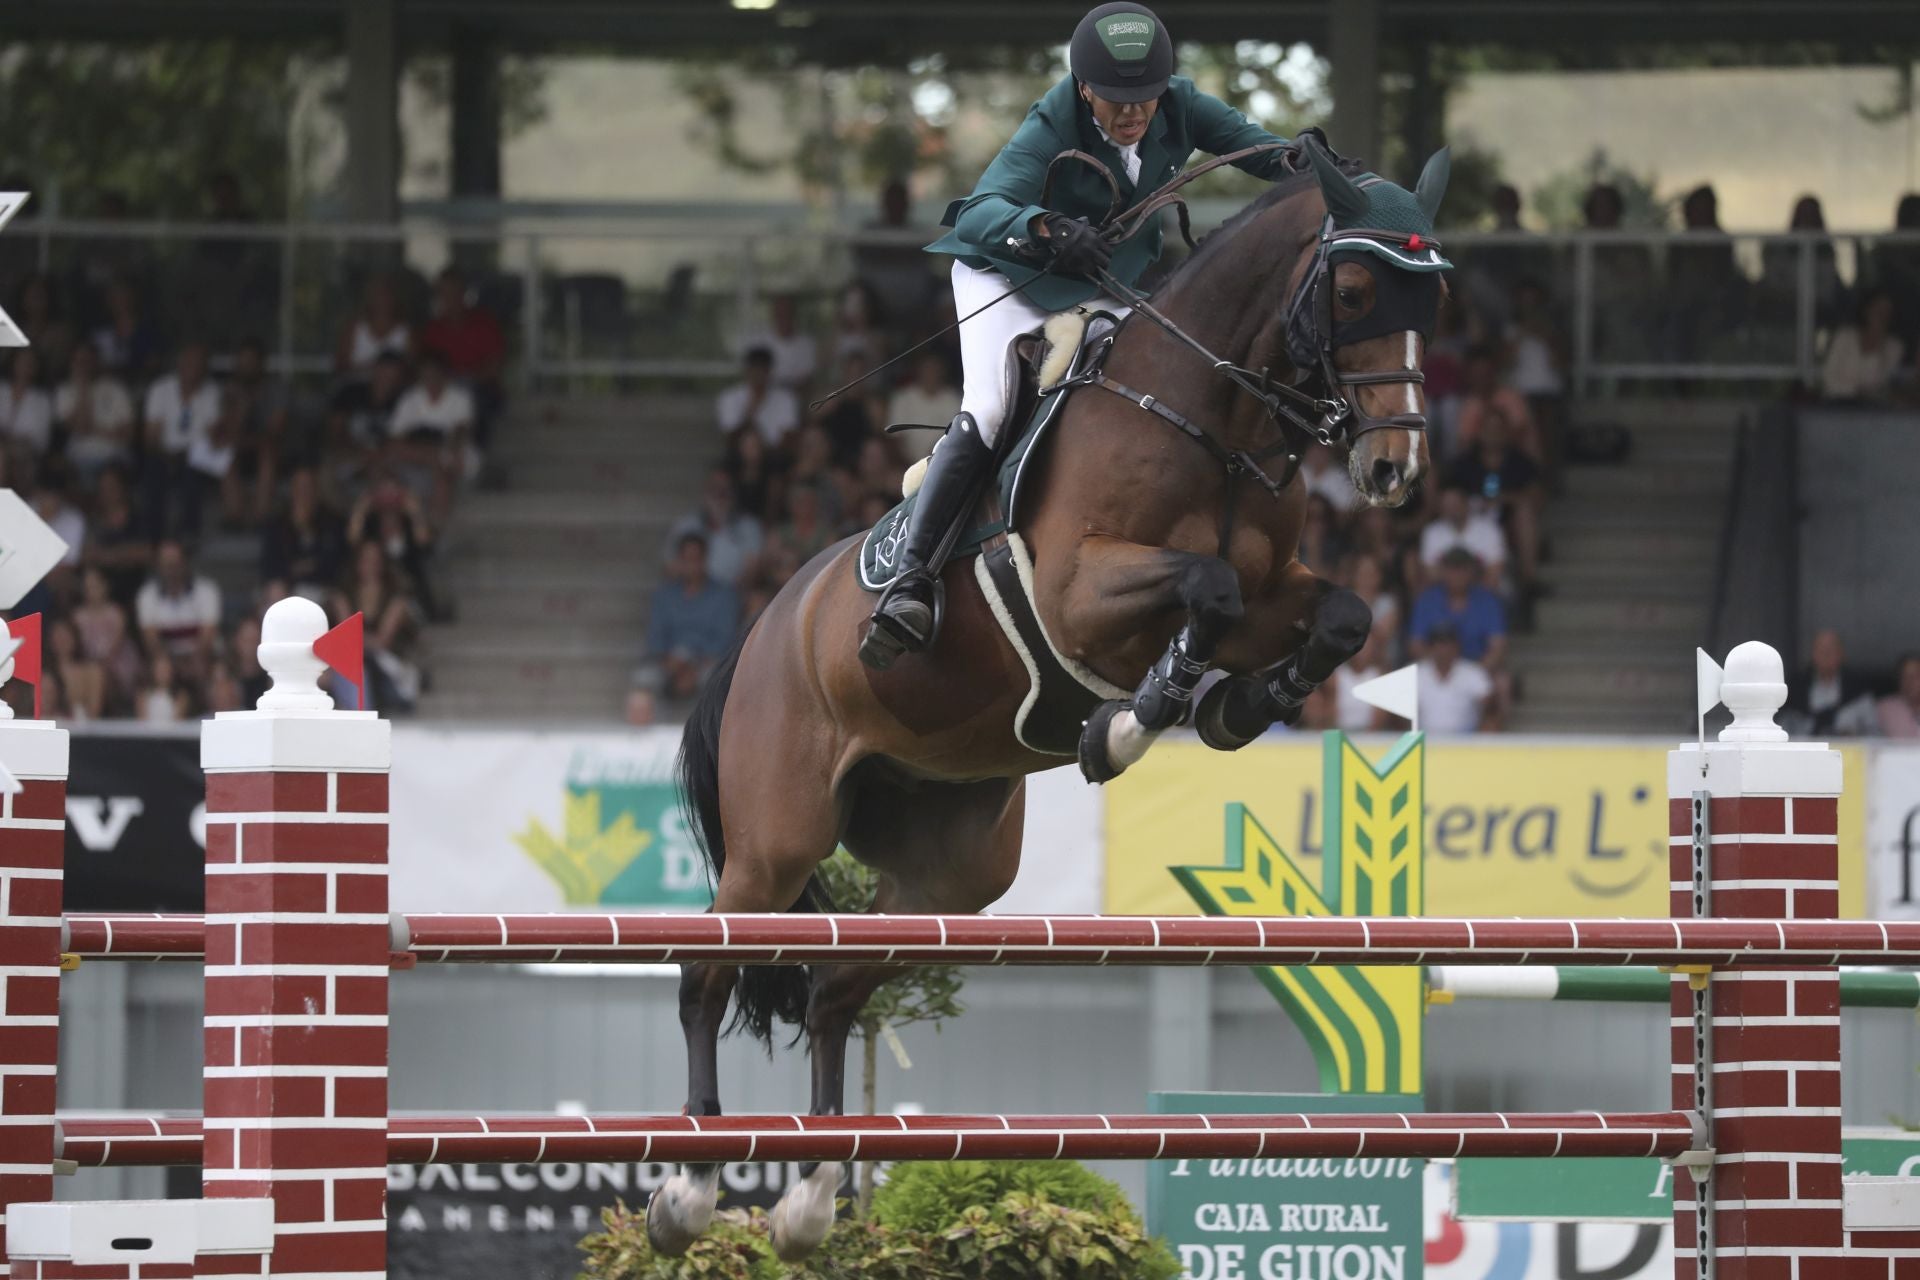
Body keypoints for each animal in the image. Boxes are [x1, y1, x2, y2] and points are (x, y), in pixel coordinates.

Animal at [652, 142, 1443, 1258]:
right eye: (1359, 290)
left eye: (1438, 299)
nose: (1391, 468)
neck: (1212, 417)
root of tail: (764, 628)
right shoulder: (1082, 592)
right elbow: (1208, 588)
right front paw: (1133, 721)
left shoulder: (1279, 593)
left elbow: (1340, 615)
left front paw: (1231, 709)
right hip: (779, 837)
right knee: (709, 969)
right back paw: (687, 1188)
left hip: (954, 869)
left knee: (836, 987)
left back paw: (810, 1200)